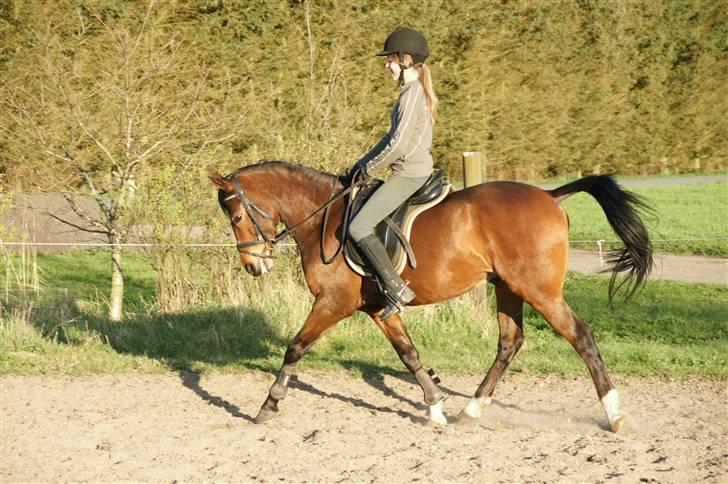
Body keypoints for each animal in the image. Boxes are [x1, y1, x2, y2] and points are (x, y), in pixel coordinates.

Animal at [210, 160, 653, 431]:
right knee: (510, 342)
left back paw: (614, 415)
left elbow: (295, 347)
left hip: (538, 290)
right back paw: (469, 410)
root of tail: (550, 195)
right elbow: (409, 354)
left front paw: (268, 405)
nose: (253, 266)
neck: (325, 217)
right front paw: (435, 405)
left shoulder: (332, 303)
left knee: (581, 336)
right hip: (508, 288)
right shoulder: (380, 309)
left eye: (236, 216)